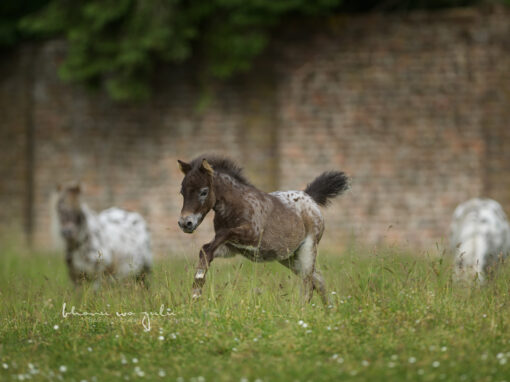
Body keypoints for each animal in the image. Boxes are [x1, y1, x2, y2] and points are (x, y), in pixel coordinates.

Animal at [176, 154, 350, 302]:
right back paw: (330, 311)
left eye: (204, 192)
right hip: (289, 257)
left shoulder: (251, 236)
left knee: (308, 286)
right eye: (182, 192)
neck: (237, 205)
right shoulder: (231, 248)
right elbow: (206, 250)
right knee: (318, 279)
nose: (185, 223)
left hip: (308, 250)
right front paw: (195, 293)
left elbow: (221, 236)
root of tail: (310, 198)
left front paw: (196, 291)